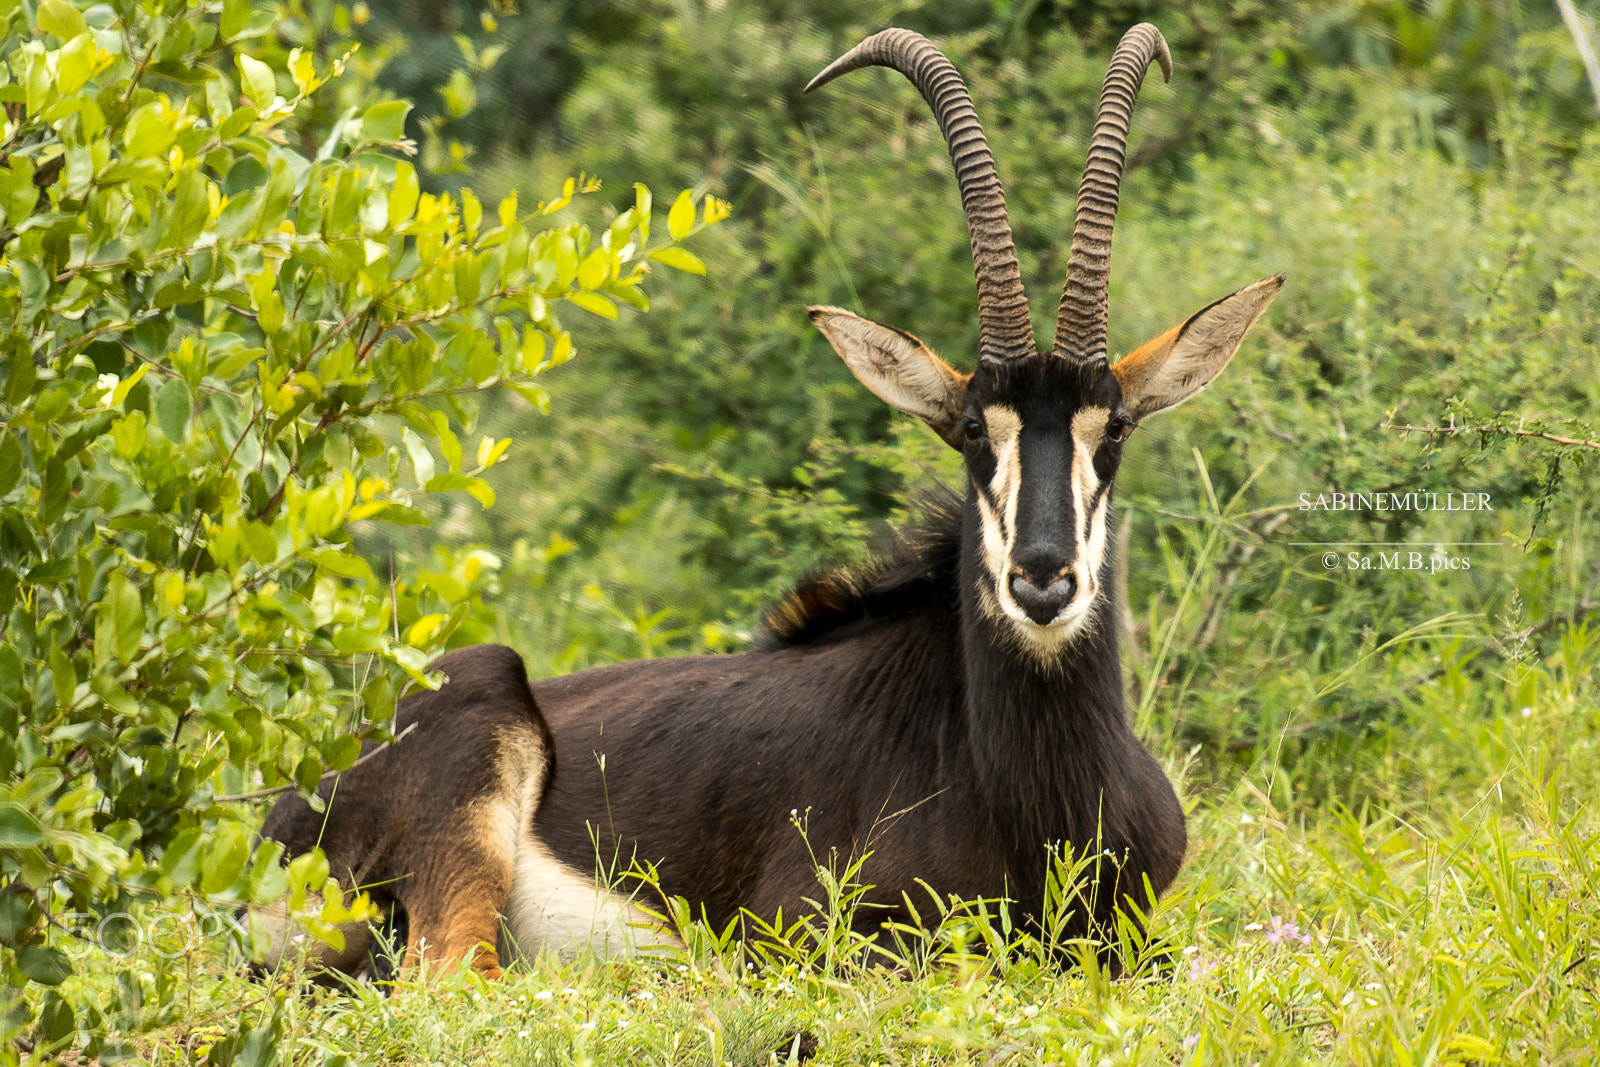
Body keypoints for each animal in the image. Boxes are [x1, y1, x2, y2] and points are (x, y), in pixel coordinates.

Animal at [255, 24, 1281, 980]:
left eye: (1113, 432)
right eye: (970, 432)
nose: (1042, 580)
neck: (1042, 796)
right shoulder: (804, 932)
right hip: (471, 763)